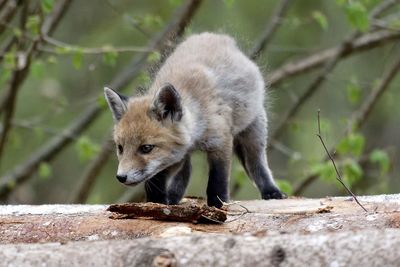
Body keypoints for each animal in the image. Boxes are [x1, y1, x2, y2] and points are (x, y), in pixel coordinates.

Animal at [104, 32, 284, 209]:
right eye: (120, 148)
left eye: (146, 148)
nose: (121, 177)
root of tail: (217, 36)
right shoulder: (173, 156)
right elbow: (157, 180)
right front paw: (155, 204)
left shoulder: (221, 141)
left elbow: (217, 179)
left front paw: (217, 204)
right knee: (186, 170)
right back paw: (174, 198)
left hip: (254, 131)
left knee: (257, 163)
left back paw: (271, 191)